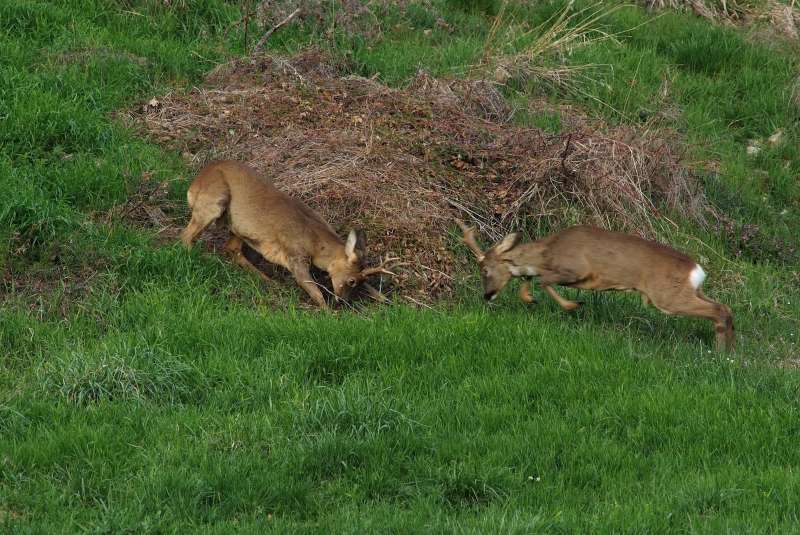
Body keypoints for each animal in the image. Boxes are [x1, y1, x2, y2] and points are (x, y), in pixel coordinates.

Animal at [178, 161, 396, 308]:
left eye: (361, 282)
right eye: (351, 281)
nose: (343, 301)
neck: (315, 241)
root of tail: (193, 184)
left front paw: (386, 299)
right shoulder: (295, 255)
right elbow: (314, 291)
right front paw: (330, 313)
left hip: (238, 226)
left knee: (231, 248)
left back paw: (269, 281)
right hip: (214, 200)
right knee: (185, 236)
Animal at [454, 219, 736, 352]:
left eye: (485, 270)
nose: (487, 295)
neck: (548, 252)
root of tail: (696, 270)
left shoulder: (577, 269)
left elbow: (542, 281)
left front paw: (572, 304)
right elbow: (530, 278)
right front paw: (531, 299)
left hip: (667, 296)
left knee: (720, 310)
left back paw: (721, 352)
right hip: (691, 291)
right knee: (726, 308)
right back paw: (728, 352)